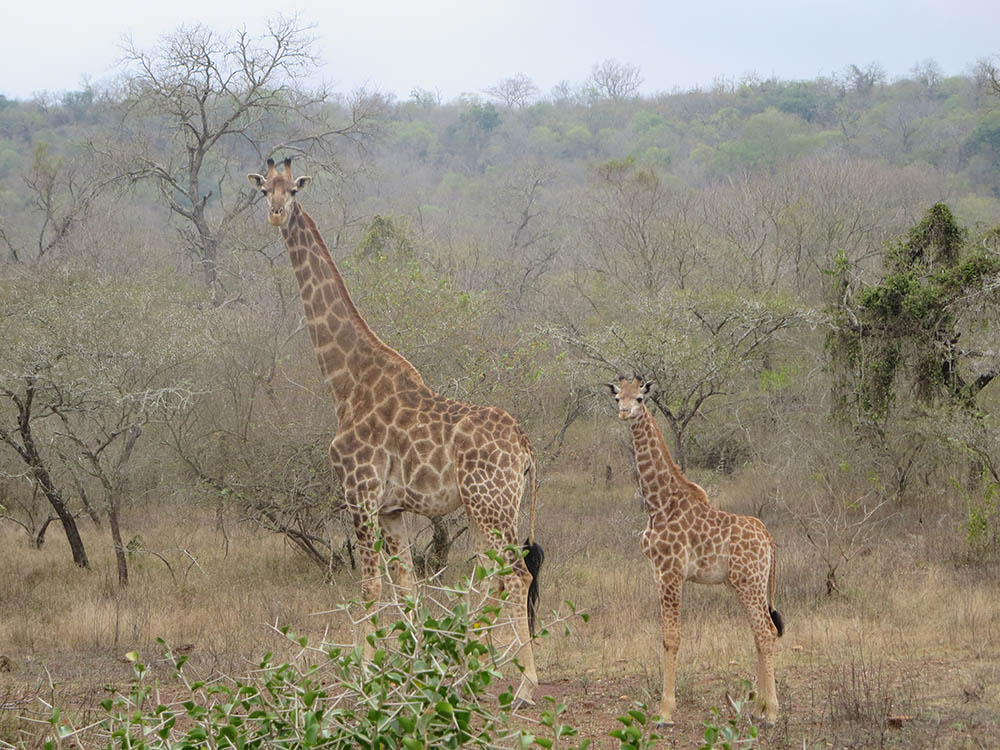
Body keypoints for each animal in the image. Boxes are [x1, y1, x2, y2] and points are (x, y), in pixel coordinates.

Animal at [247, 158, 543, 705]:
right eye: (263, 190)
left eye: (293, 189)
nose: (276, 213)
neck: (345, 381)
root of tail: (526, 447)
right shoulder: (391, 508)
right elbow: (406, 587)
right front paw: (415, 668)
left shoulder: (359, 492)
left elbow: (369, 586)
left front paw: (366, 675)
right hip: (494, 507)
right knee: (498, 573)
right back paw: (473, 668)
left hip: (488, 504)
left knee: (514, 573)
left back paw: (524, 682)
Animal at [606, 376, 783, 726]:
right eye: (618, 396)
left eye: (640, 399)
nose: (624, 412)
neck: (660, 504)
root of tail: (769, 539)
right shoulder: (658, 574)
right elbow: (665, 636)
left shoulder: (671, 573)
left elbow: (671, 638)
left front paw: (665, 710)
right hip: (743, 584)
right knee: (759, 633)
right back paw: (758, 708)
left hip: (751, 582)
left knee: (767, 631)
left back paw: (771, 712)